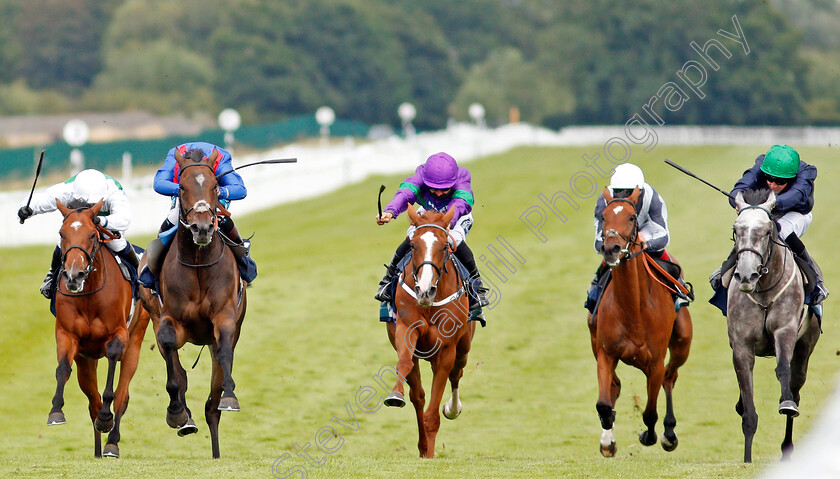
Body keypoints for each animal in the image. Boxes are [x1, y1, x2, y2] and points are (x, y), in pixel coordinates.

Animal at [49, 201, 148, 460]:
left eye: (92, 235)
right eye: (62, 234)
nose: (74, 275)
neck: (89, 295)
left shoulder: (119, 334)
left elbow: (113, 364)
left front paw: (106, 418)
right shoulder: (67, 335)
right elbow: (62, 369)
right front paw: (56, 411)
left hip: (135, 341)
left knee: (122, 396)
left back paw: (111, 442)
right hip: (87, 359)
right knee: (91, 400)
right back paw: (97, 449)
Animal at [138, 148, 248, 460]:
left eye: (215, 186)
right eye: (183, 187)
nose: (201, 227)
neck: (199, 263)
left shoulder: (225, 318)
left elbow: (224, 352)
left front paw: (230, 396)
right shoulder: (169, 319)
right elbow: (174, 367)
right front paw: (177, 413)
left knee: (212, 404)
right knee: (177, 368)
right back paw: (184, 416)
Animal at [382, 205, 476, 458]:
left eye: (445, 246)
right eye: (413, 245)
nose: (424, 290)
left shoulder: (446, 349)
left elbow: (433, 412)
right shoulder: (406, 329)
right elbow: (404, 364)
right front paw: (395, 395)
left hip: (463, 347)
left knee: (456, 374)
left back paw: (452, 409)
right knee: (419, 396)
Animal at [588, 187, 692, 458]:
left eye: (632, 217)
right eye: (603, 217)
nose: (611, 249)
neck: (633, 310)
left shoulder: (654, 362)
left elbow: (650, 412)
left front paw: (650, 435)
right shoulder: (605, 353)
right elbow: (604, 404)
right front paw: (607, 442)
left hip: (682, 343)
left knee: (670, 376)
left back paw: (669, 433)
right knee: (615, 385)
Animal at [728, 189, 820, 464]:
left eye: (767, 231)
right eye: (736, 229)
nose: (746, 275)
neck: (764, 290)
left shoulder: (785, 331)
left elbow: (782, 371)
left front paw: (786, 404)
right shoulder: (741, 345)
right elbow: (747, 401)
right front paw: (747, 459)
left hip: (806, 344)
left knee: (796, 386)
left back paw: (787, 447)